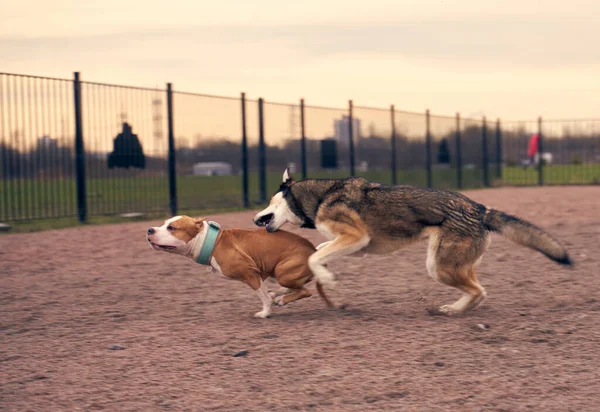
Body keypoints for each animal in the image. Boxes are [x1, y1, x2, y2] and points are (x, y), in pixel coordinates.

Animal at [145, 216, 332, 318]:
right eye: (163, 224)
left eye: (171, 227)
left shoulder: (250, 274)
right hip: (282, 273)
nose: (149, 230)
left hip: (283, 272)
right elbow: (265, 293)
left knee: (305, 291)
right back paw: (278, 295)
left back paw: (282, 299)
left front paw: (265, 313)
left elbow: (263, 297)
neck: (212, 243)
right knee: (293, 287)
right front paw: (270, 300)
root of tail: (314, 251)